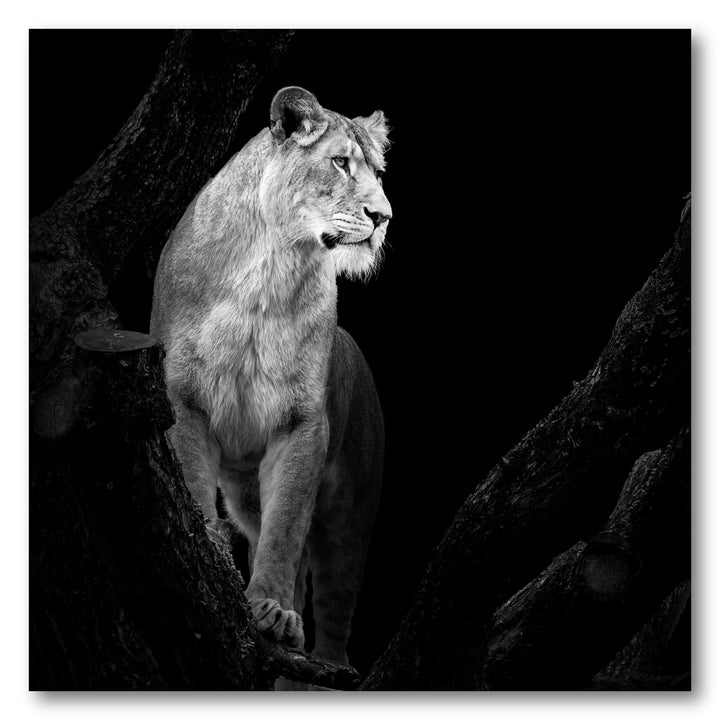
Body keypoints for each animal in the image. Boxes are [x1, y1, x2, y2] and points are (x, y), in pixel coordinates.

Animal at [150, 86, 391, 666]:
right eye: (340, 162)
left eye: (378, 171)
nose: (384, 216)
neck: (271, 266)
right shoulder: (183, 399)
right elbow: (195, 488)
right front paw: (213, 557)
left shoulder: (302, 424)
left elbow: (286, 530)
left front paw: (275, 612)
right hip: (245, 492)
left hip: (354, 513)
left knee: (334, 606)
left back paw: (325, 662)